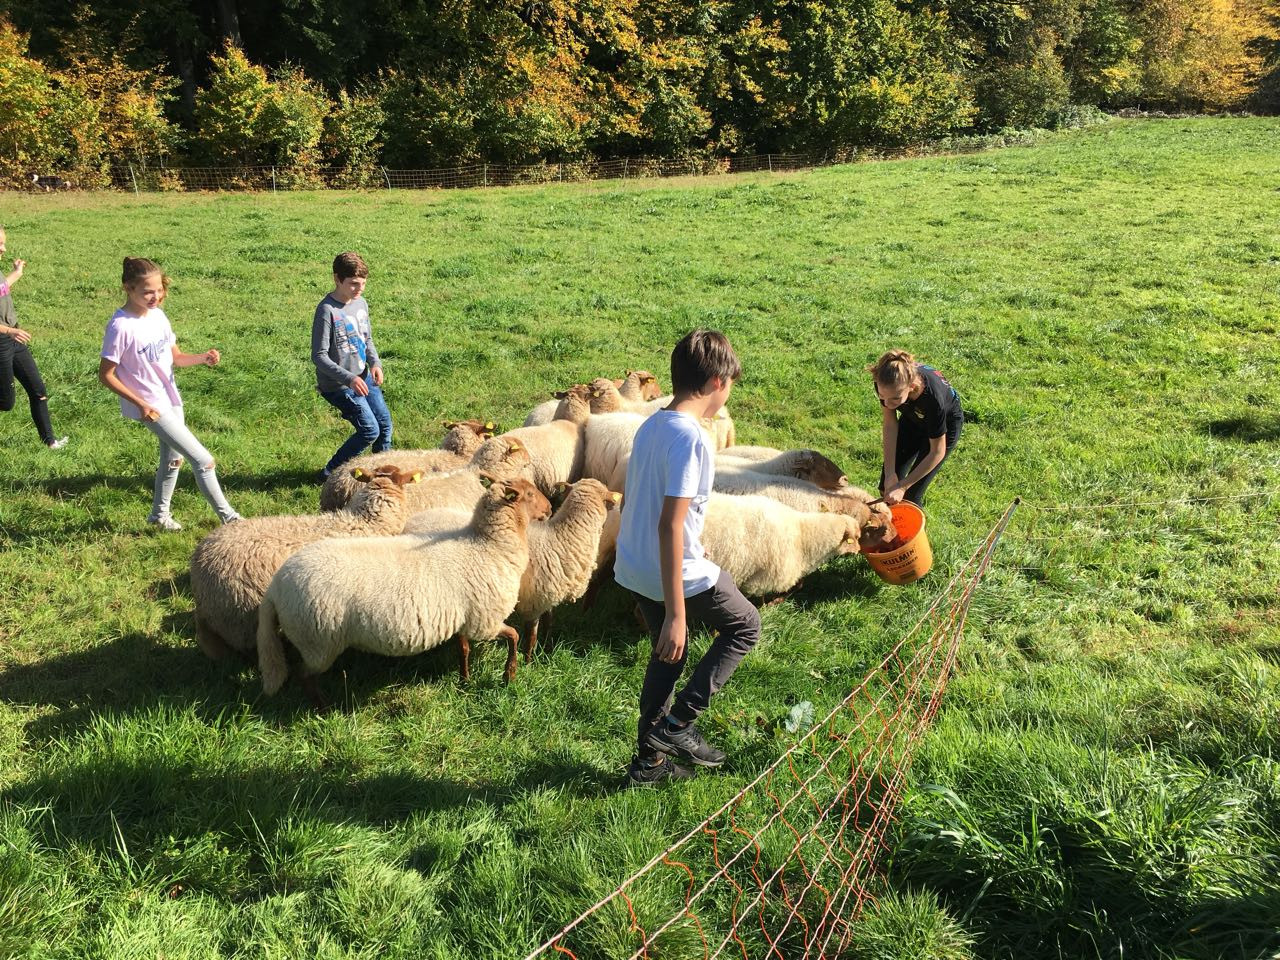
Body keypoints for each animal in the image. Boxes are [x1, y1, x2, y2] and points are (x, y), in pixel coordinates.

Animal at [258, 476, 551, 700]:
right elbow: (513, 636)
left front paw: (465, 680)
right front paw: (509, 674)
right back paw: (321, 707)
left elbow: (464, 650)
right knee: (303, 675)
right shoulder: (484, 621)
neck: (486, 545)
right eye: (528, 493)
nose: (549, 508)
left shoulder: (465, 620)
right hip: (317, 642)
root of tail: (275, 587)